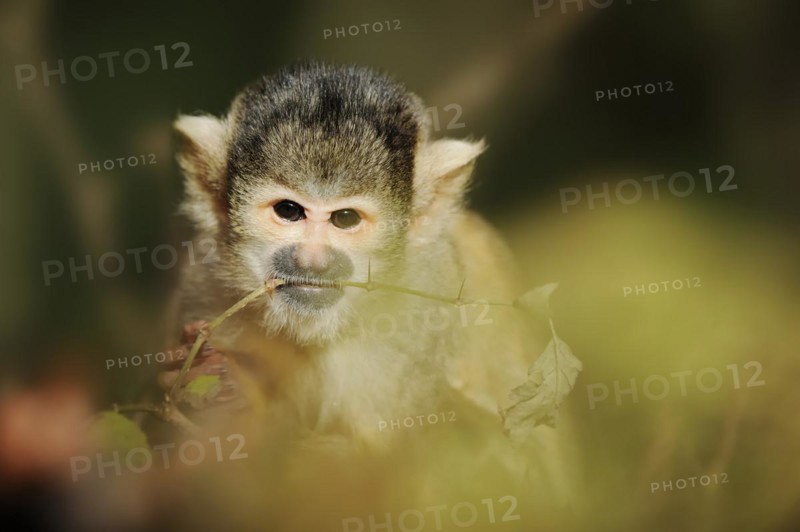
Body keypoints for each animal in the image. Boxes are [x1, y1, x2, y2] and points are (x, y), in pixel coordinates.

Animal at [163, 63, 576, 525]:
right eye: (289, 211)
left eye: (344, 218)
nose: (312, 261)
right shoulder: (204, 286)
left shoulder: (421, 314)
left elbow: (374, 467)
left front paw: (244, 407)